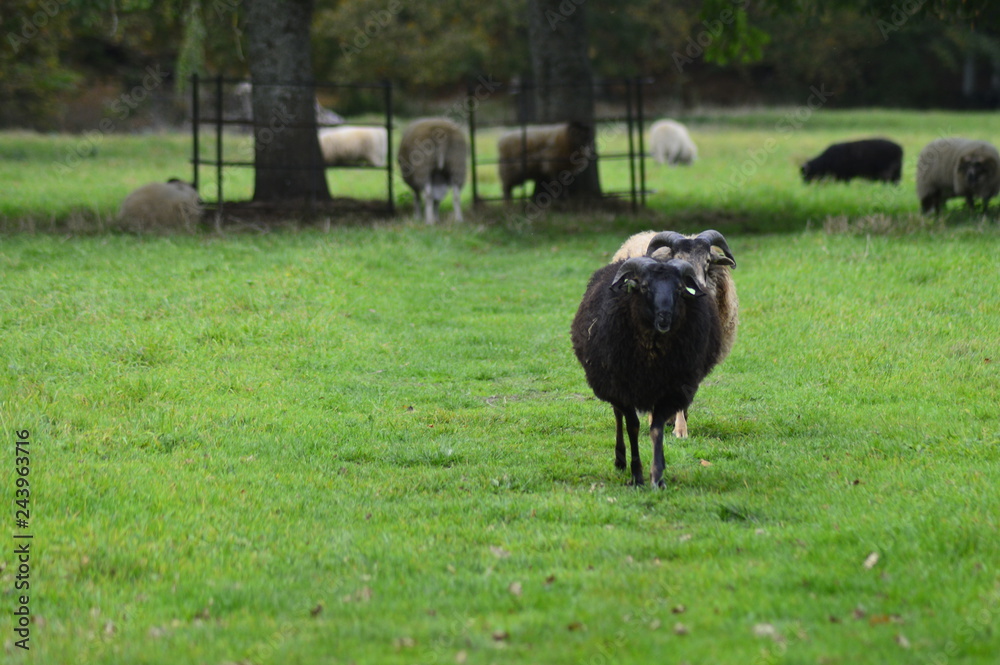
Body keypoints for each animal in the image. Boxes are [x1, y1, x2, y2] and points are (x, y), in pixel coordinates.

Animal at [571, 256, 723, 487]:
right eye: (644, 287)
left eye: (679, 289)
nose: (664, 318)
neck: (652, 352)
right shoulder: (622, 388)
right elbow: (632, 427)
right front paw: (637, 475)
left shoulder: (671, 389)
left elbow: (657, 429)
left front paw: (658, 475)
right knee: (618, 416)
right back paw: (620, 461)